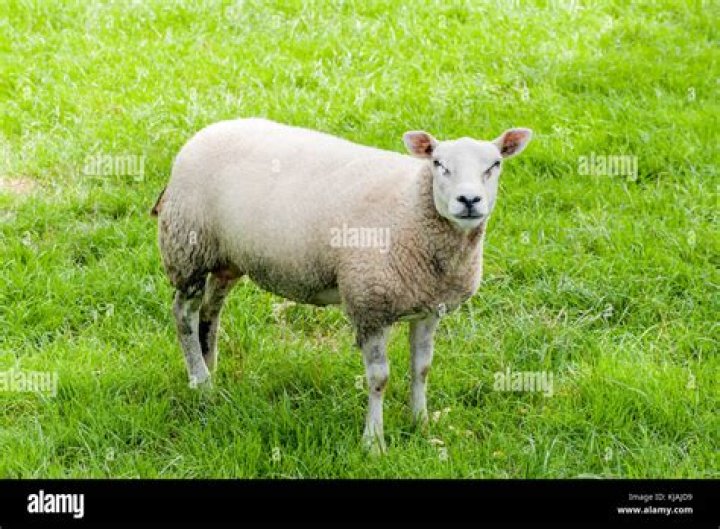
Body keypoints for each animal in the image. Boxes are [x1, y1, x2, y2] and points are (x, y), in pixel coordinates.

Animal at [153, 118, 532, 452]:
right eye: (439, 164)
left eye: (495, 164)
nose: (469, 201)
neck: (412, 205)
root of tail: (203, 133)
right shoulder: (369, 304)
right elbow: (379, 379)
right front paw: (374, 443)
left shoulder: (429, 308)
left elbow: (421, 369)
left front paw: (420, 424)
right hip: (188, 247)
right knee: (184, 314)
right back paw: (201, 383)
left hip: (226, 258)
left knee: (211, 311)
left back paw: (209, 367)